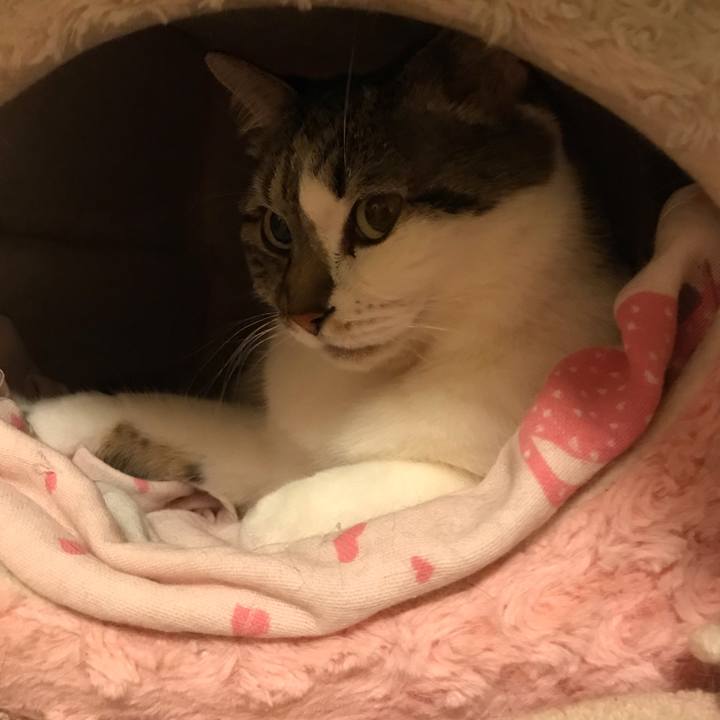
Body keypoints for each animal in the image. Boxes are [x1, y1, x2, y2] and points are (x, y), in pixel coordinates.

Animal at [24, 33, 622, 548]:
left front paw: (267, 522)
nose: (301, 315)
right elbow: (186, 419)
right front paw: (58, 415)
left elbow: (404, 482)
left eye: (378, 215)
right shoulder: (272, 437)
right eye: (276, 229)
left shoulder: (491, 479)